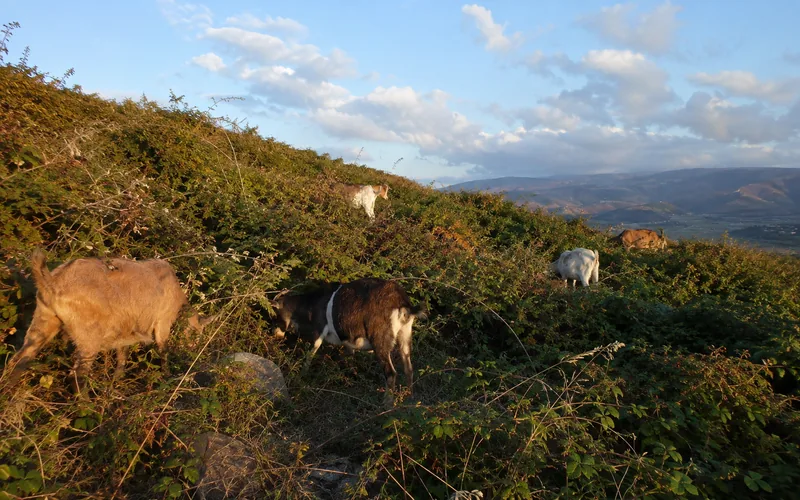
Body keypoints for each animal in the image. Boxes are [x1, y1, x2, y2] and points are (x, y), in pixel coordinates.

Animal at [3, 249, 215, 393]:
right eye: (195, 332)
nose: (193, 350)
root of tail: (53, 282)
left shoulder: (125, 328)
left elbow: (122, 355)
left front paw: (116, 383)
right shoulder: (162, 321)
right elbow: (163, 349)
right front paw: (167, 376)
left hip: (44, 319)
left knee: (21, 358)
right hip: (88, 335)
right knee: (78, 374)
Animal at [271, 278, 425, 398]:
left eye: (276, 315)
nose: (276, 335)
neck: (311, 304)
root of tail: (402, 302)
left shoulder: (319, 329)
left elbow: (311, 353)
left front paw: (301, 376)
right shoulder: (349, 343)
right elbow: (347, 356)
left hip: (380, 339)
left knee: (391, 373)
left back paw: (387, 405)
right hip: (405, 334)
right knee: (408, 368)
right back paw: (409, 398)